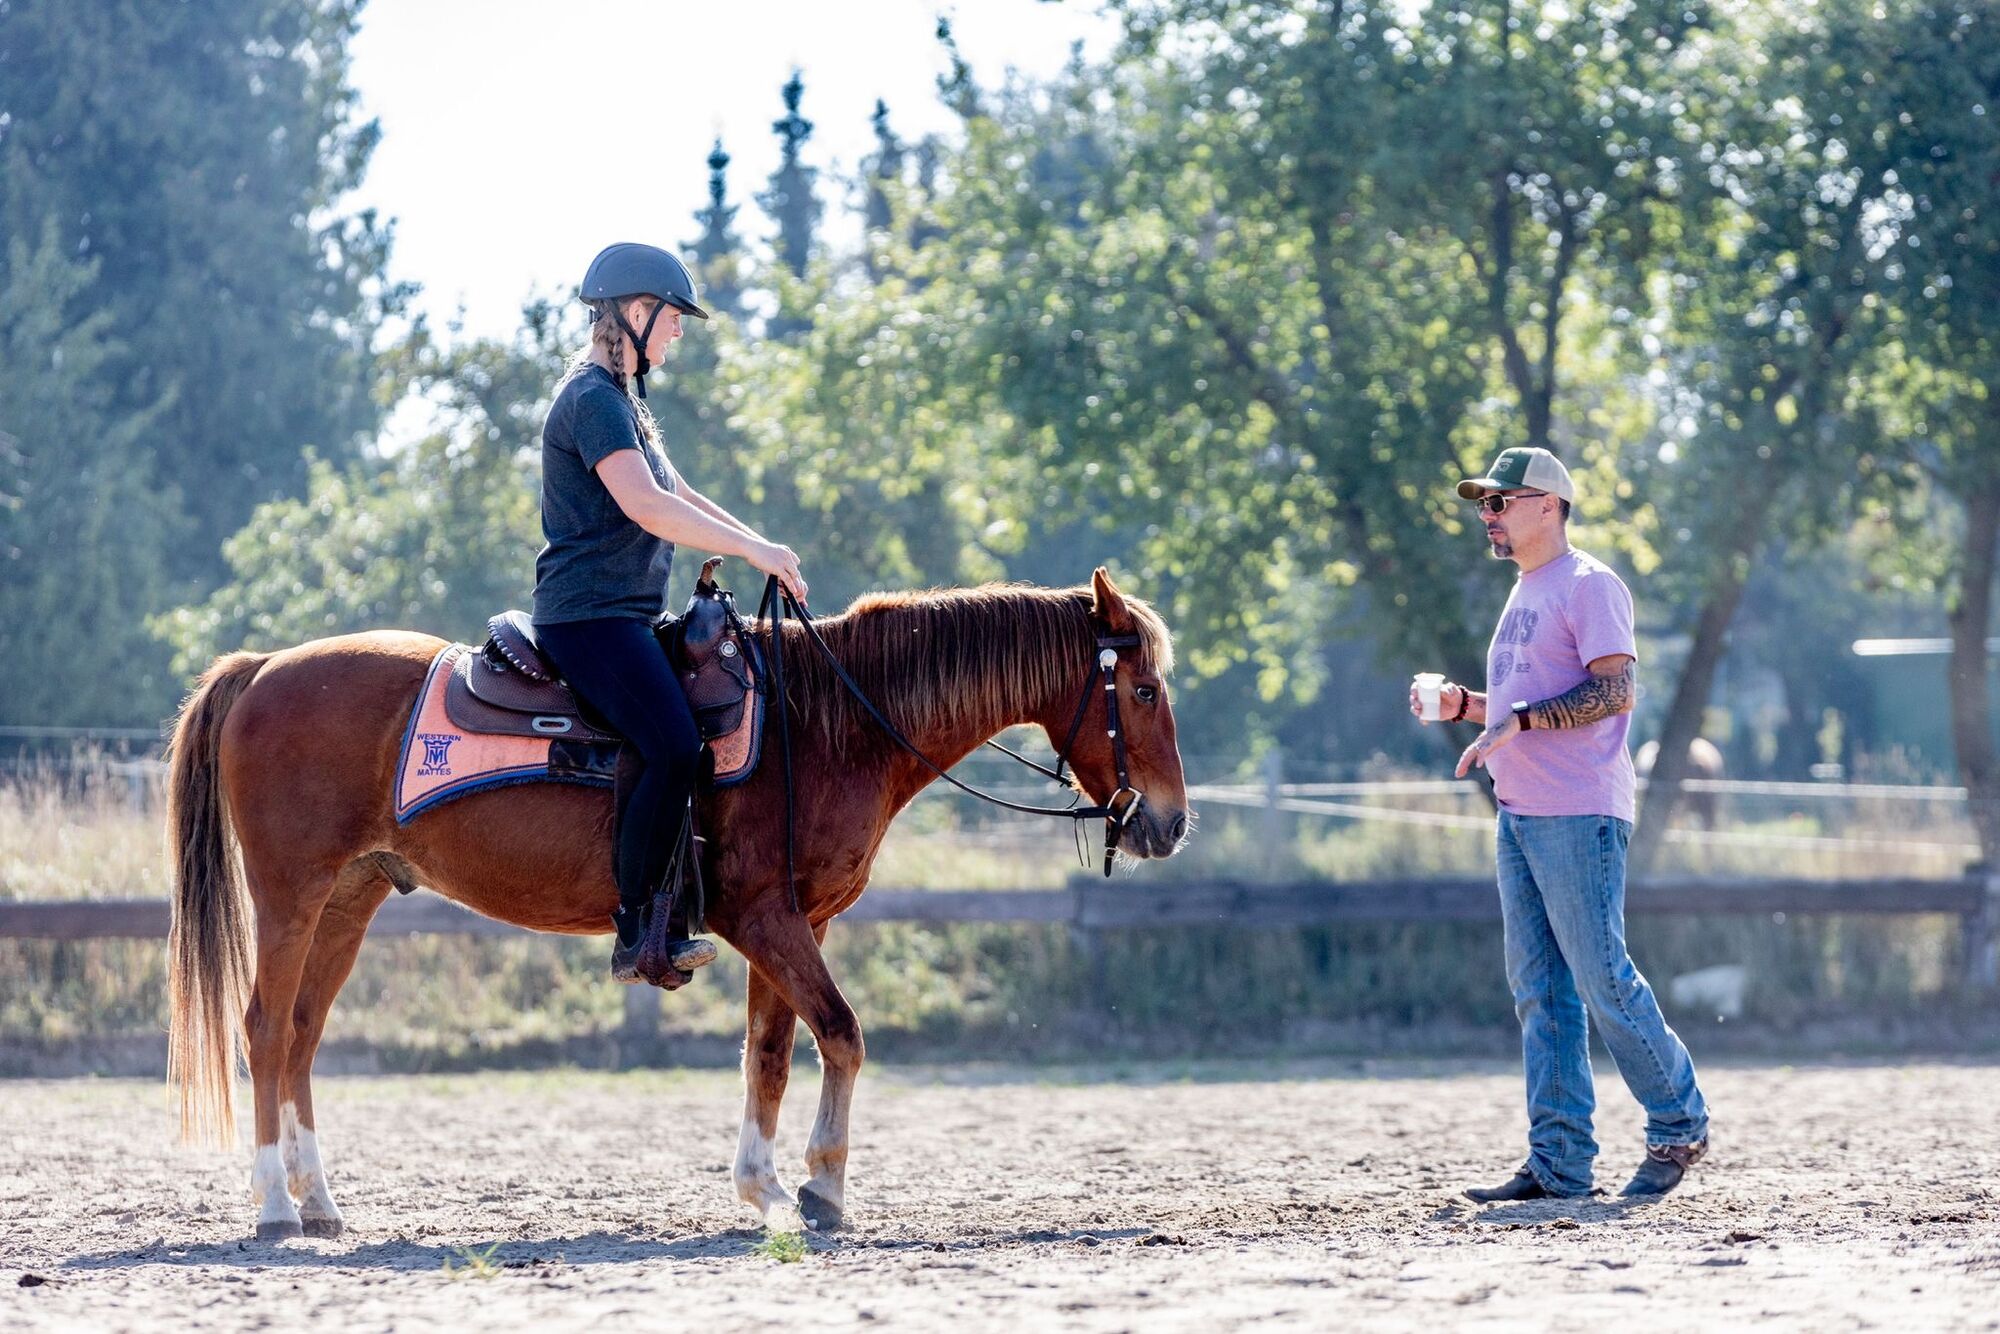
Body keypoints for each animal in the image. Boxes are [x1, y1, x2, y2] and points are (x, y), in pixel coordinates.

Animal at [164, 572, 1184, 1240]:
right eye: (1140, 688)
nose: (1171, 823)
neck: (824, 721)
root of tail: (264, 668)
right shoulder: (764, 918)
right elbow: (843, 1034)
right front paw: (820, 1191)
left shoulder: (795, 920)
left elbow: (771, 1053)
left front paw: (764, 1190)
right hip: (291, 895)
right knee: (265, 1030)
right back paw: (272, 1206)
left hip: (351, 896)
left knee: (301, 1035)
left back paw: (319, 1203)